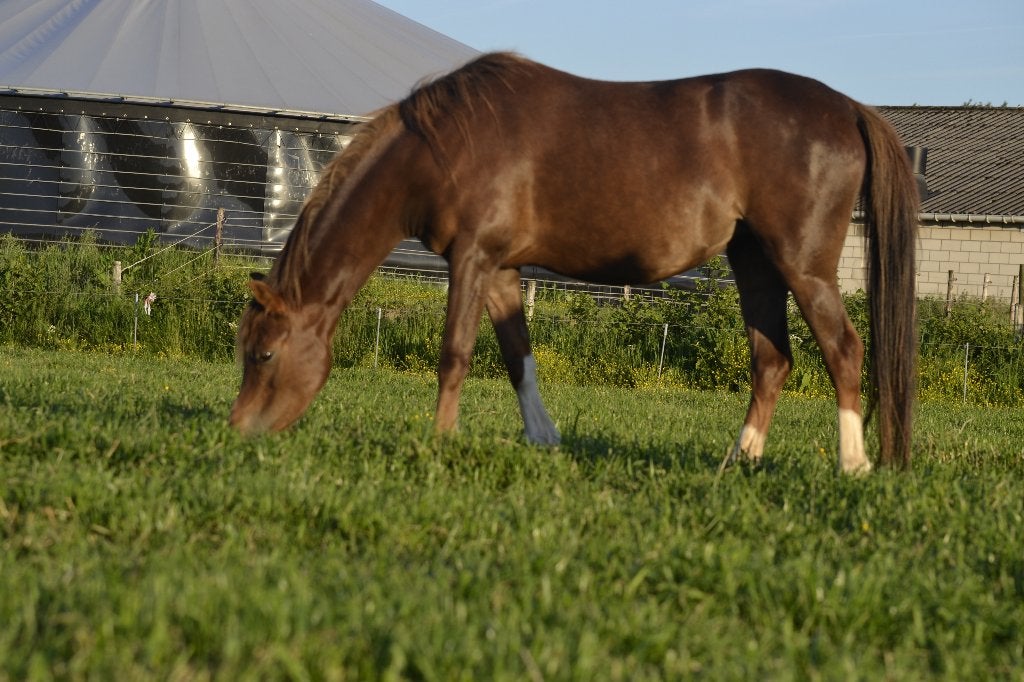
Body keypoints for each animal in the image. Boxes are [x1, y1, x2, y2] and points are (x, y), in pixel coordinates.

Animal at [229, 52, 918, 472]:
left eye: (263, 355)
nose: (238, 432)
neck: (443, 144)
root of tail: (848, 107)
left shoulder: (471, 257)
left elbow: (455, 354)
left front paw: (440, 440)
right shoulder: (501, 270)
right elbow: (517, 355)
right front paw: (543, 439)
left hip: (802, 265)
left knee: (844, 348)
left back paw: (853, 463)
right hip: (753, 262)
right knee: (772, 359)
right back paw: (738, 460)